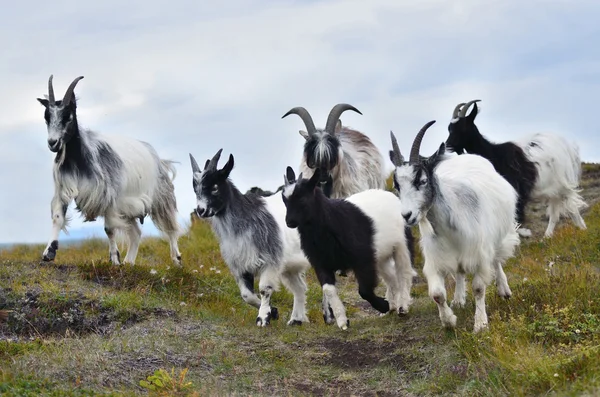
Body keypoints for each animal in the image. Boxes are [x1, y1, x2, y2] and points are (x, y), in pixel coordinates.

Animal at [190, 148, 312, 324]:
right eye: (195, 189)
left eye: (214, 187)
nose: (201, 210)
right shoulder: (240, 264)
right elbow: (247, 295)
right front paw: (273, 312)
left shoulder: (270, 259)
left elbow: (264, 289)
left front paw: (263, 318)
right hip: (291, 266)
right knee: (300, 287)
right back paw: (296, 320)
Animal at [280, 166, 412, 330]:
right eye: (284, 199)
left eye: (302, 198)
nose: (289, 222)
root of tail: (391, 196)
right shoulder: (320, 262)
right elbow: (328, 289)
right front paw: (342, 321)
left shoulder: (362, 258)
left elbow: (365, 291)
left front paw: (383, 305)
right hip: (379, 255)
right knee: (391, 276)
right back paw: (393, 306)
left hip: (402, 244)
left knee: (404, 272)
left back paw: (402, 307)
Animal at [390, 120, 520, 332]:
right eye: (397, 186)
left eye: (422, 181)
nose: (407, 216)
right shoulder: (436, 257)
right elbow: (437, 294)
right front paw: (449, 320)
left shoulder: (479, 252)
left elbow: (479, 287)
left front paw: (480, 324)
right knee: (459, 271)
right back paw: (459, 299)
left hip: (499, 234)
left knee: (497, 259)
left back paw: (504, 289)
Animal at [446, 100, 584, 237]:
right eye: (449, 128)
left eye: (463, 127)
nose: (448, 145)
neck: (494, 154)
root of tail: (567, 145)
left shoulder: (517, 194)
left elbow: (516, 220)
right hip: (554, 190)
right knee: (555, 213)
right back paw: (547, 236)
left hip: (565, 184)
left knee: (572, 208)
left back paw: (582, 230)